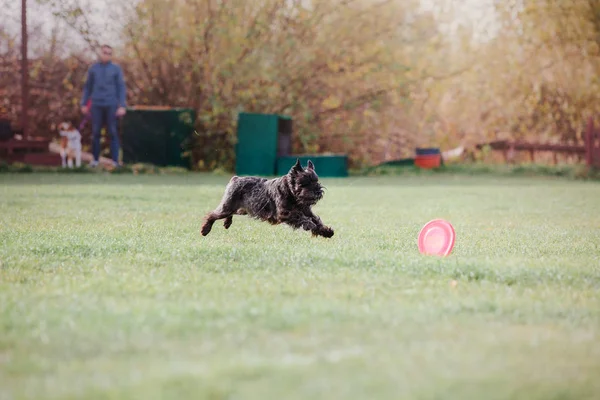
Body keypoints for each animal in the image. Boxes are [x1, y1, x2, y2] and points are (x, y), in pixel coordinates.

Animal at [200, 159, 332, 239]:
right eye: (304, 183)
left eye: (316, 181)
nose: (317, 191)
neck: (290, 192)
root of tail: (235, 179)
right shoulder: (285, 214)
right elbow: (302, 218)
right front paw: (310, 225)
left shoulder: (307, 212)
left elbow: (316, 220)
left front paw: (326, 231)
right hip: (227, 206)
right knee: (212, 215)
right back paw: (205, 230)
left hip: (240, 209)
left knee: (229, 213)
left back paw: (227, 223)